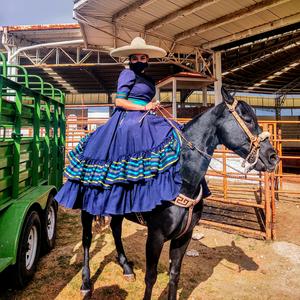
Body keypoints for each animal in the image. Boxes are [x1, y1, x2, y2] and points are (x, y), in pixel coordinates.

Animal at [79, 90, 276, 298]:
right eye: (247, 119)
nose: (273, 157)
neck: (182, 179)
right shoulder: (155, 236)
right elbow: (151, 278)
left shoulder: (184, 236)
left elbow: (175, 275)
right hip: (86, 208)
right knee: (87, 240)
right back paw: (85, 284)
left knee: (116, 229)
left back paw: (126, 268)